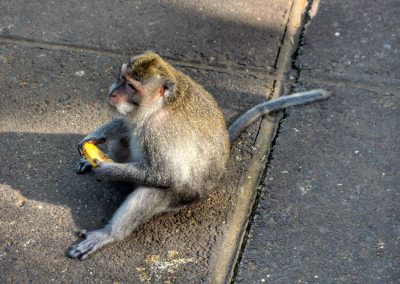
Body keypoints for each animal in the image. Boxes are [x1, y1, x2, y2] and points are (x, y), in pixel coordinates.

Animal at [69, 51, 332, 260]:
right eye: (121, 78)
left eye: (131, 86)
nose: (114, 92)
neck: (159, 105)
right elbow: (125, 124)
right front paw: (95, 139)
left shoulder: (160, 130)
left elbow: (167, 175)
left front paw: (107, 169)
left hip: (182, 199)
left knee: (156, 188)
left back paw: (109, 233)